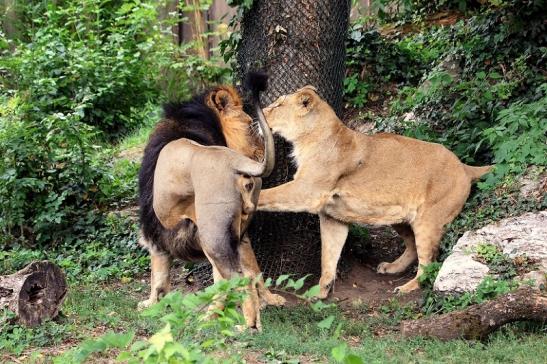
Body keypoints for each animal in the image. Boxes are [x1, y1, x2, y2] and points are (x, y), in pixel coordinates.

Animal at [138, 72, 286, 330]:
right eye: (249, 125)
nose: (260, 150)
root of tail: (235, 161)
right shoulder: (242, 235)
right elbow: (255, 268)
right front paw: (271, 299)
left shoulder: (154, 227)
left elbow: (158, 273)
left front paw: (151, 304)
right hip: (232, 232)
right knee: (246, 274)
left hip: (211, 236)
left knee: (234, 280)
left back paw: (234, 323)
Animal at [256, 86, 492, 298]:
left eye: (277, 105)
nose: (255, 118)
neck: (310, 138)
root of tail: (464, 167)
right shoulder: (333, 217)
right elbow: (328, 256)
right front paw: (321, 291)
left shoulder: (307, 190)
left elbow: (270, 195)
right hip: (399, 217)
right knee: (412, 246)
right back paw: (391, 268)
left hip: (429, 220)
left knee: (429, 262)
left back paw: (406, 287)